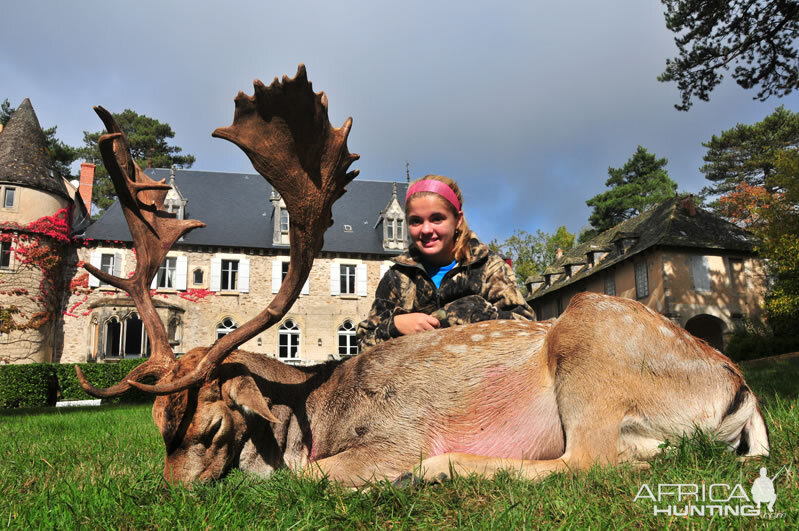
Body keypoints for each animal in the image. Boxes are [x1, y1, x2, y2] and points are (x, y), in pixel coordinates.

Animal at [75, 65, 768, 486]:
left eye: (214, 425)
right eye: (158, 428)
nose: (176, 494)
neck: (311, 416)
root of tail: (741, 391)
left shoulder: (392, 435)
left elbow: (314, 475)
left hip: (593, 340)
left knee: (590, 461)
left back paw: (442, 465)